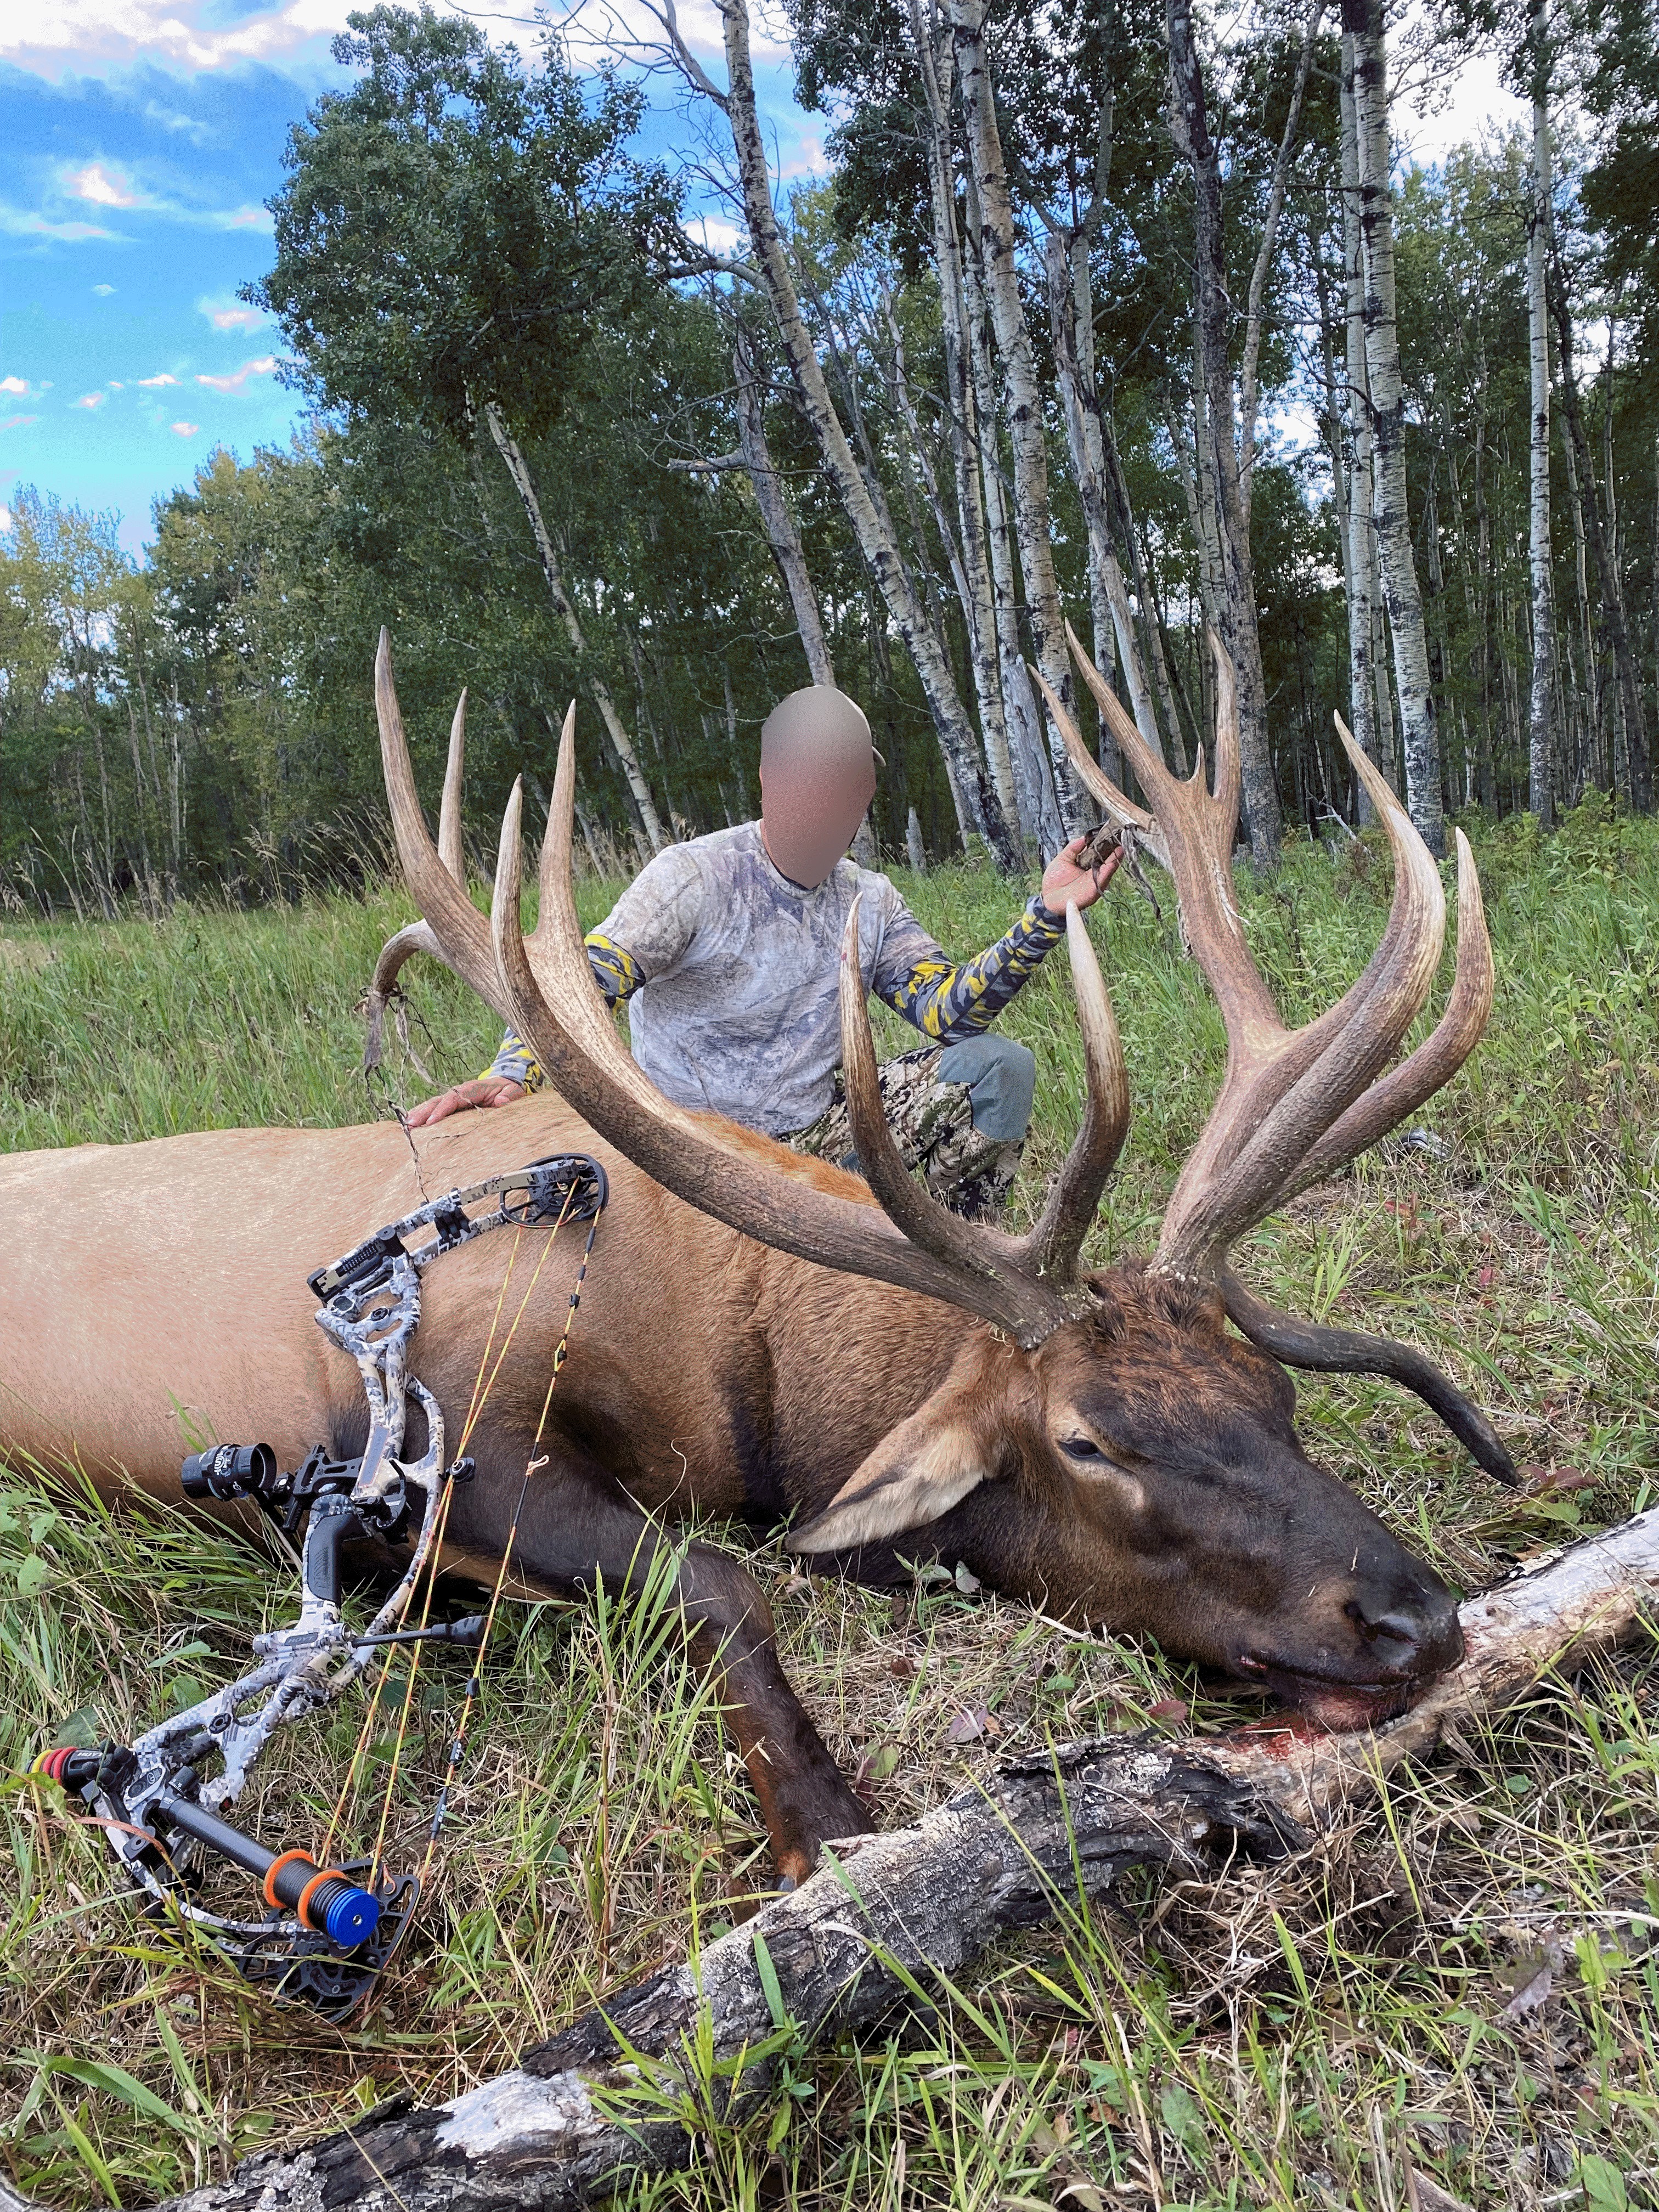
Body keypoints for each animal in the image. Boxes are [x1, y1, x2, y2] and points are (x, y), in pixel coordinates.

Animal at [0, 627, 1513, 1887]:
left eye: (1278, 1395)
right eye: (1090, 1442)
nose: (1413, 1620)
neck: (743, 1381)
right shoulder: (448, 1437)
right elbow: (718, 1578)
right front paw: (824, 1828)